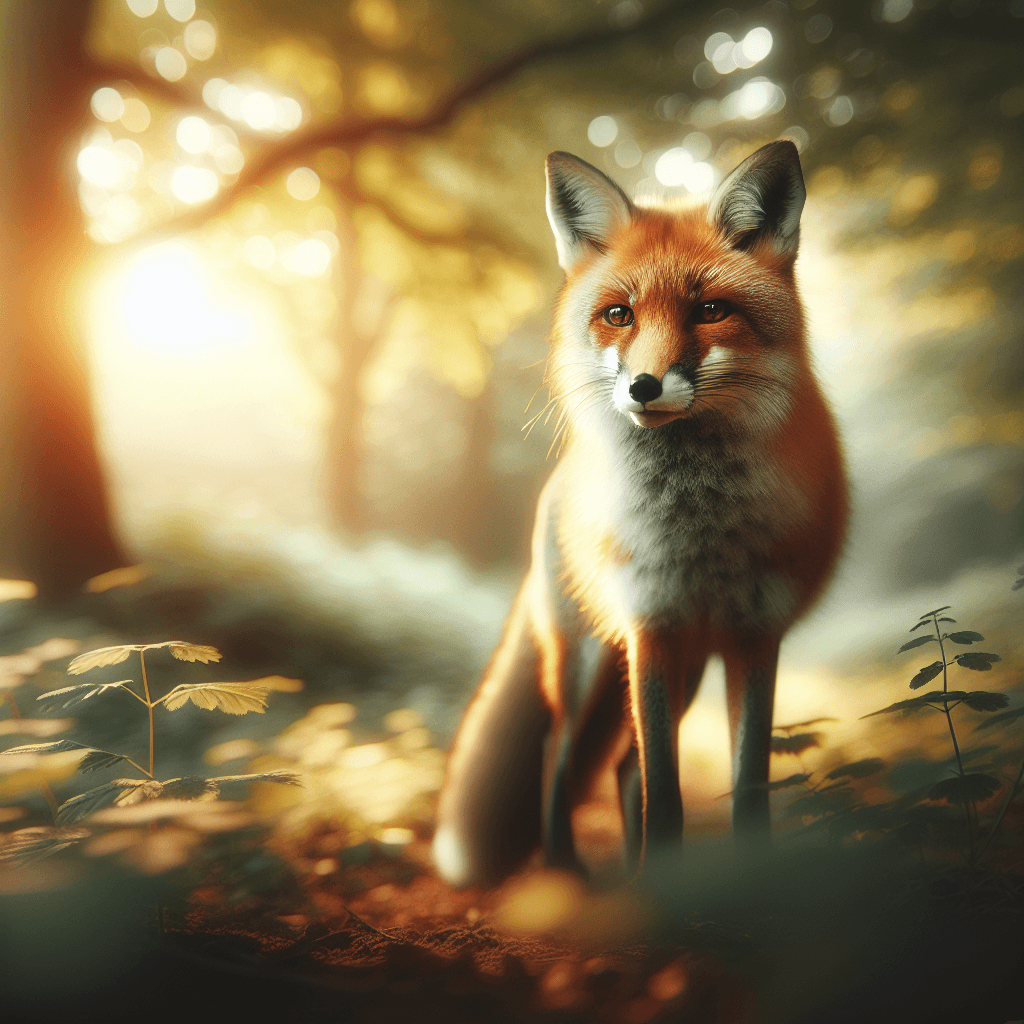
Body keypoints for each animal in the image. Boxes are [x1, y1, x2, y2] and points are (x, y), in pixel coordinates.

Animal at [433, 140, 848, 885]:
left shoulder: (754, 634)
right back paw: (566, 873)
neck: (700, 526)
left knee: (624, 769)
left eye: (710, 309)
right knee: (559, 755)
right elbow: (666, 794)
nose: (644, 386)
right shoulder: (651, 626)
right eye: (619, 315)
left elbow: (743, 786)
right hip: (590, 661)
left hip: (683, 668)